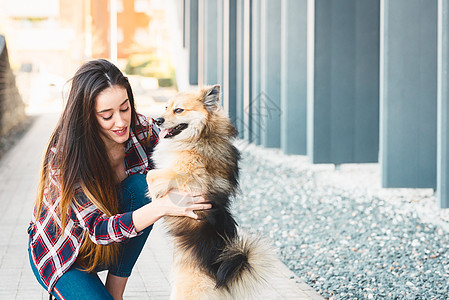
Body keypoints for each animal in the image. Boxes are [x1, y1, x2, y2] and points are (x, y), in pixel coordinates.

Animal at [147, 85, 272, 300]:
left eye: (178, 110)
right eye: (165, 107)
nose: (157, 120)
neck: (201, 135)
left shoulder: (186, 174)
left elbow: (151, 176)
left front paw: (156, 196)